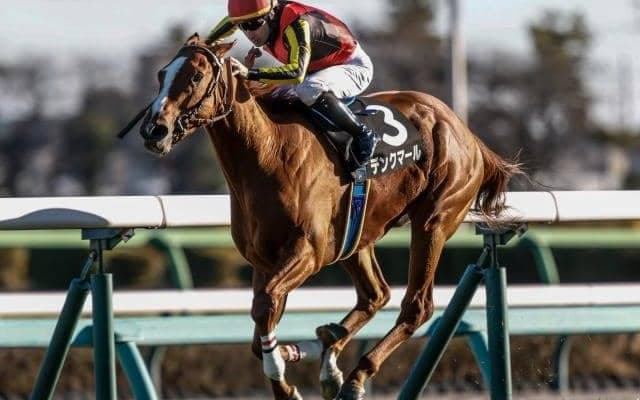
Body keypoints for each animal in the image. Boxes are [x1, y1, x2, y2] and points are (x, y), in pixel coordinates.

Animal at [135, 33, 521, 400]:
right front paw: (300, 356)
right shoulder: (264, 260)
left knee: (417, 306)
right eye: (161, 75)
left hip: (434, 221)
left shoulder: (308, 252)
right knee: (375, 295)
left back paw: (354, 375)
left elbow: (266, 308)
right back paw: (332, 353)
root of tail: (467, 133)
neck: (269, 152)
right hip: (358, 234)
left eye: (196, 76)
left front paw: (287, 381)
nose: (154, 130)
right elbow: (261, 324)